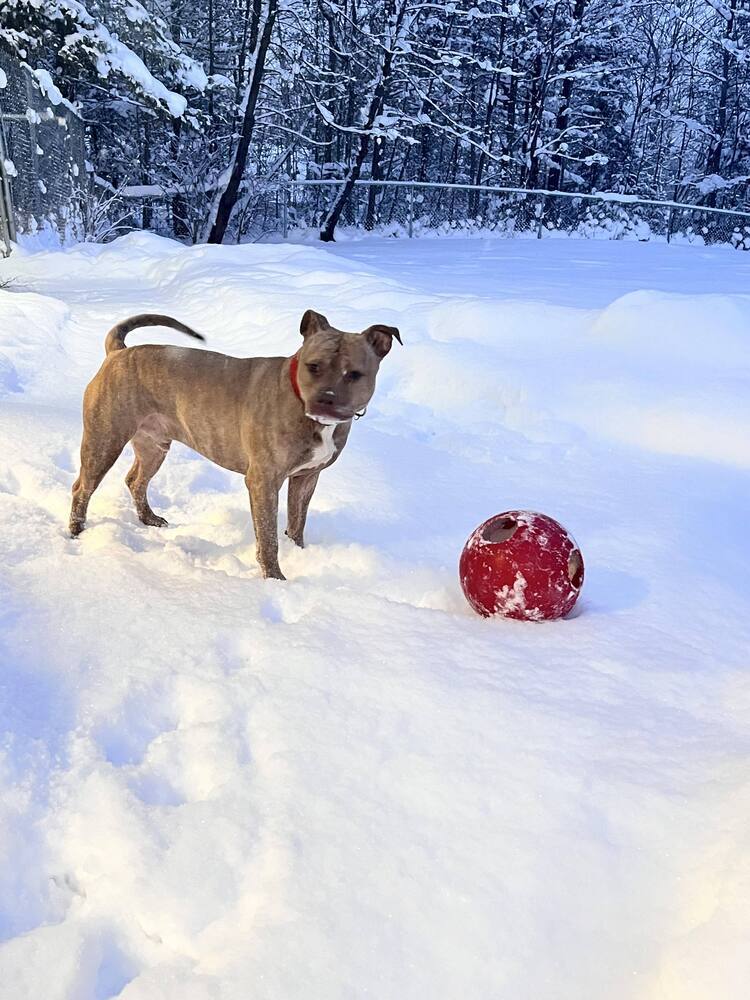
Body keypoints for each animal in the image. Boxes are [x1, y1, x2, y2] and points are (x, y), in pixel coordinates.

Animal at [67, 310, 402, 580]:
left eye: (355, 374)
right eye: (313, 366)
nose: (325, 399)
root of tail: (117, 353)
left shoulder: (306, 477)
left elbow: (297, 523)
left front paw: (298, 552)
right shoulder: (264, 481)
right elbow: (268, 537)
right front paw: (274, 579)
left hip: (154, 446)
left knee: (135, 480)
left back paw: (149, 519)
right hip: (104, 440)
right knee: (82, 488)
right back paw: (76, 531)